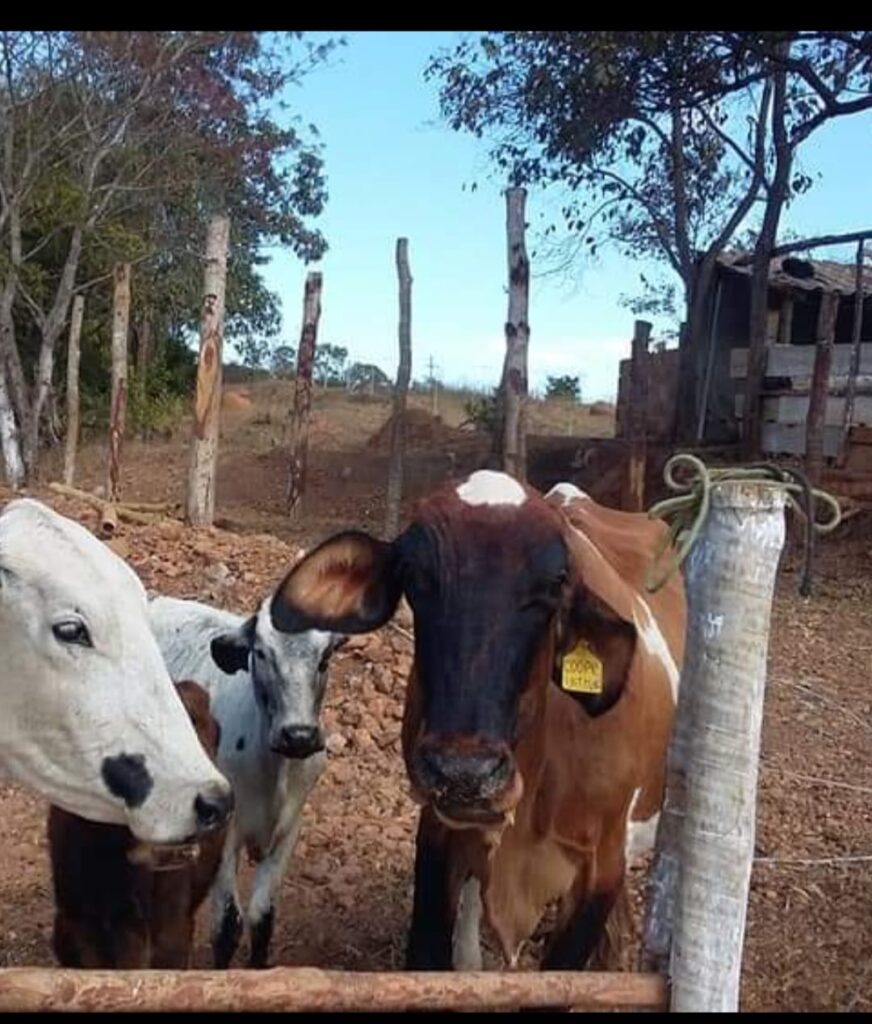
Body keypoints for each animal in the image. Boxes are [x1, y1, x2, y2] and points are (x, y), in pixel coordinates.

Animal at [148, 593, 345, 966]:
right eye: (262, 652)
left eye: (325, 657)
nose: (298, 735)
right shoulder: (227, 832)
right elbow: (227, 926)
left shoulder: (289, 830)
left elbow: (262, 917)